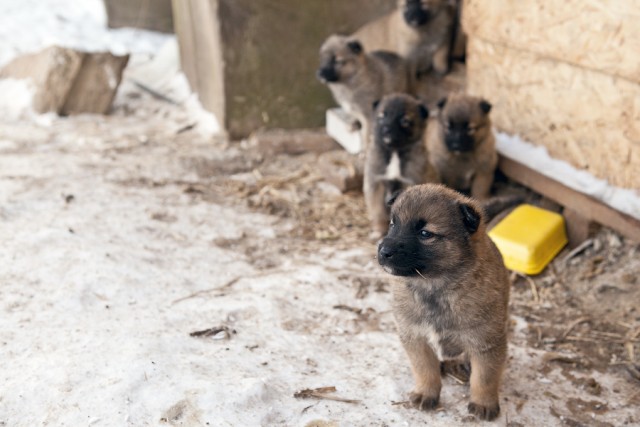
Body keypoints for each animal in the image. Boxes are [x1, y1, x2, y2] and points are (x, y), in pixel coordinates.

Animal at [362, 93, 438, 239]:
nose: (386, 129)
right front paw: (379, 230)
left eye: (404, 121)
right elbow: (378, 210)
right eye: (382, 116)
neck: (394, 151)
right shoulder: (376, 183)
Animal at [376, 184, 510, 422]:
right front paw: (426, 393)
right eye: (393, 224)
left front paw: (483, 403)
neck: (434, 287)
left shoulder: (486, 342)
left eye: (425, 233)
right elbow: (424, 369)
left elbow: (484, 377)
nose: (383, 251)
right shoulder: (415, 337)